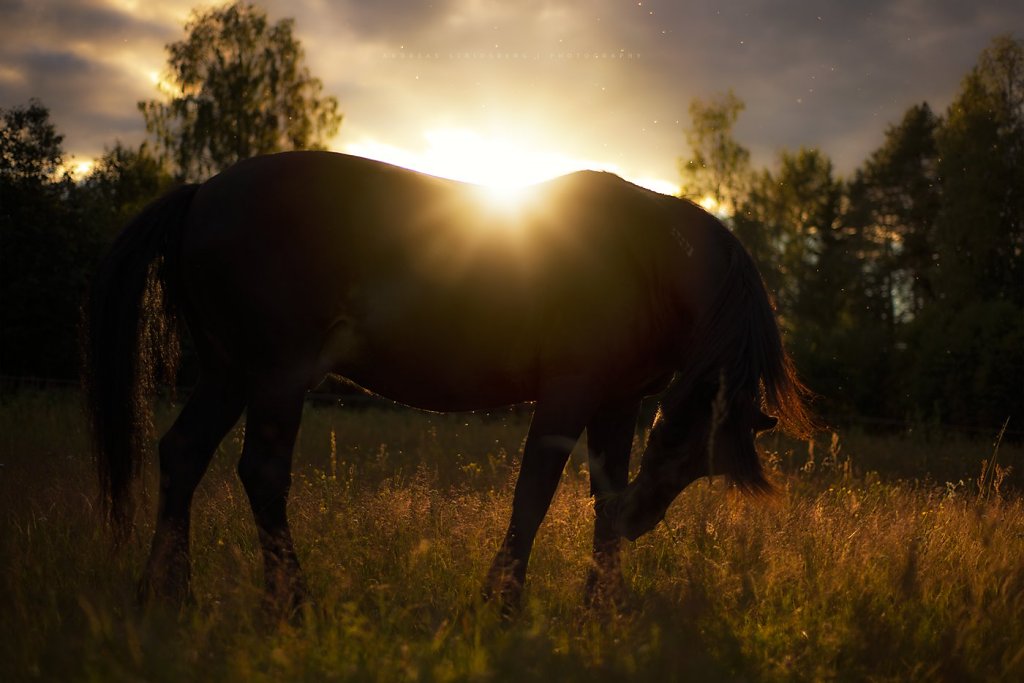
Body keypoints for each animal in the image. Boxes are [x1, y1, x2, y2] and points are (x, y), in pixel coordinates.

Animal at [84, 151, 813, 614]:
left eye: (702, 464)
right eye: (685, 435)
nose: (646, 519)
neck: (646, 258)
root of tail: (201, 193)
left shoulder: (616, 401)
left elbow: (601, 499)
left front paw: (601, 608)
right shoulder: (569, 392)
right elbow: (533, 495)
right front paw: (501, 602)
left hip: (229, 374)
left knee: (183, 455)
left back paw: (168, 593)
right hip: (276, 377)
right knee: (261, 473)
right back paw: (291, 601)